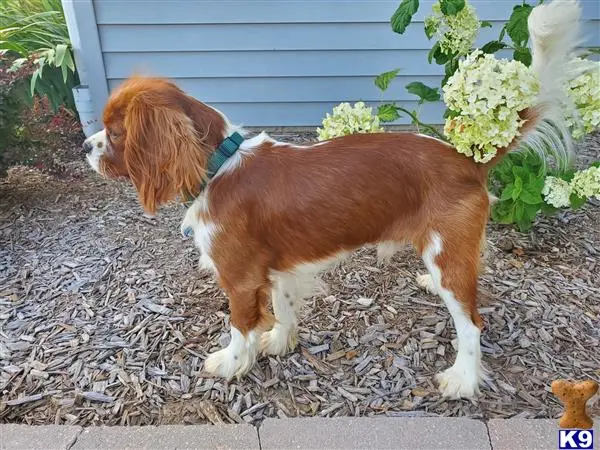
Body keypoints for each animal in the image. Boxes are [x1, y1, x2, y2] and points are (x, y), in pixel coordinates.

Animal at [81, 0, 580, 400]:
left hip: (447, 253)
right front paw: (281, 341)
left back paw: (462, 379)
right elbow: (283, 306)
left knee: (472, 323)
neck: (219, 165)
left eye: (116, 133)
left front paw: (231, 363)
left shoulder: (239, 278)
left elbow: (239, 326)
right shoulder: (275, 268)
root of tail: (466, 158)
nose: (86, 145)